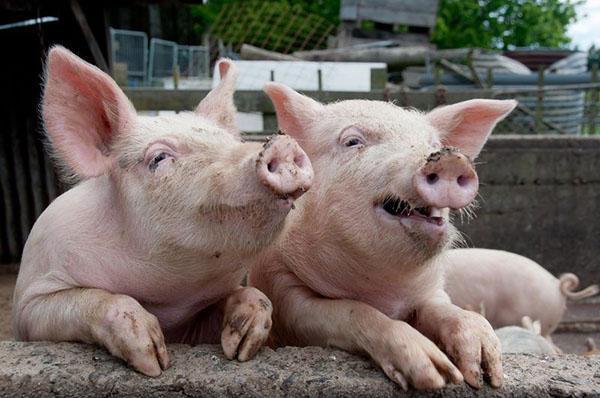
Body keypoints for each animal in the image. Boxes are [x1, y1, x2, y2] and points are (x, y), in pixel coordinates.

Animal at [11, 47, 314, 376]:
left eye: (234, 142)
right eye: (158, 158)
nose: (281, 145)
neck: (167, 299)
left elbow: (256, 297)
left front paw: (241, 347)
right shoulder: (29, 304)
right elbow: (90, 299)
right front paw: (154, 362)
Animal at [246, 82, 516, 390]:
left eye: (434, 144)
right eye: (352, 141)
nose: (450, 159)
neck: (384, 290)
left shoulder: (431, 291)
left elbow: (446, 310)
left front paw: (485, 374)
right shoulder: (283, 291)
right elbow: (350, 312)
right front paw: (436, 374)